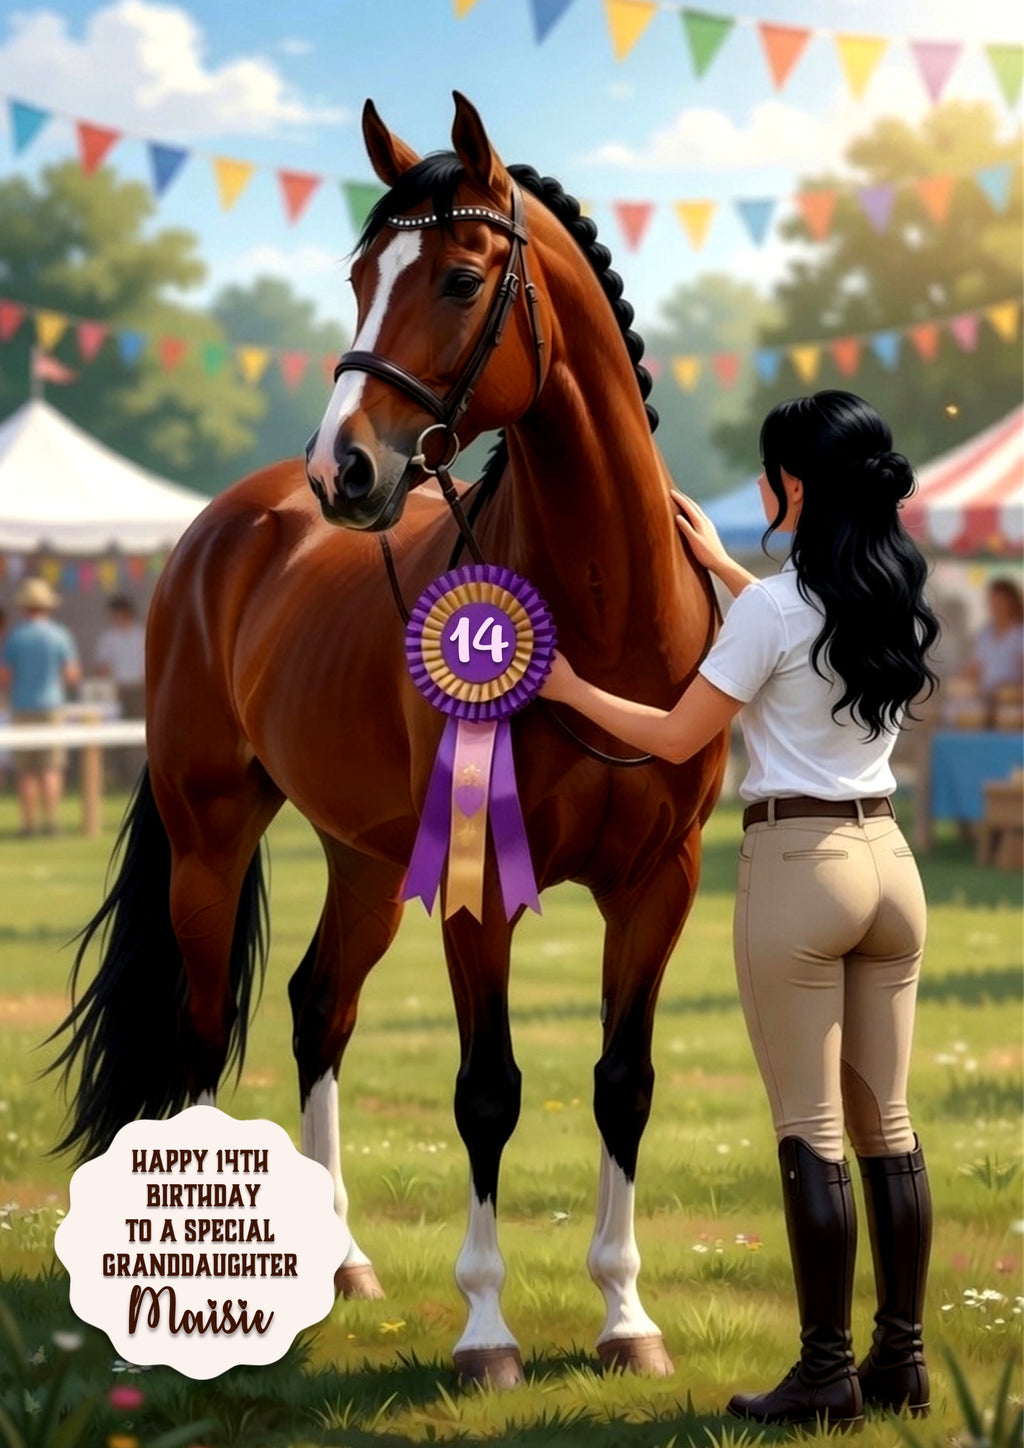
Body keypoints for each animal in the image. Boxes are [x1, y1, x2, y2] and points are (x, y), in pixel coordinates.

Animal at [53, 93, 727, 1387]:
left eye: (461, 279)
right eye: (360, 275)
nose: (345, 467)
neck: (607, 621)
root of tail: (226, 527)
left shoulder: (656, 883)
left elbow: (622, 1084)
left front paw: (626, 1318)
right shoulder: (476, 888)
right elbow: (488, 1090)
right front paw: (486, 1332)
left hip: (364, 859)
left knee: (320, 1004)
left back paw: (345, 1260)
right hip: (210, 842)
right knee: (203, 1031)